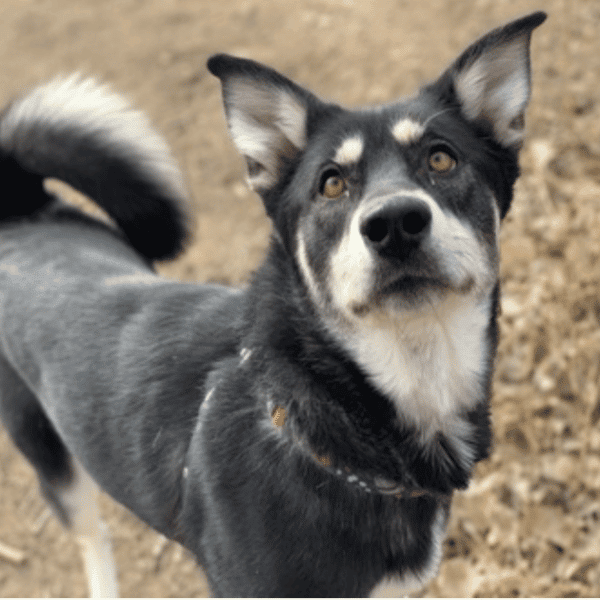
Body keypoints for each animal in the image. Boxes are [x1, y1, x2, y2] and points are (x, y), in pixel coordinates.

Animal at [0, 11, 548, 596]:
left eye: (441, 158)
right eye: (331, 184)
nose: (395, 223)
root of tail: (23, 211)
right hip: (53, 461)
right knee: (93, 537)